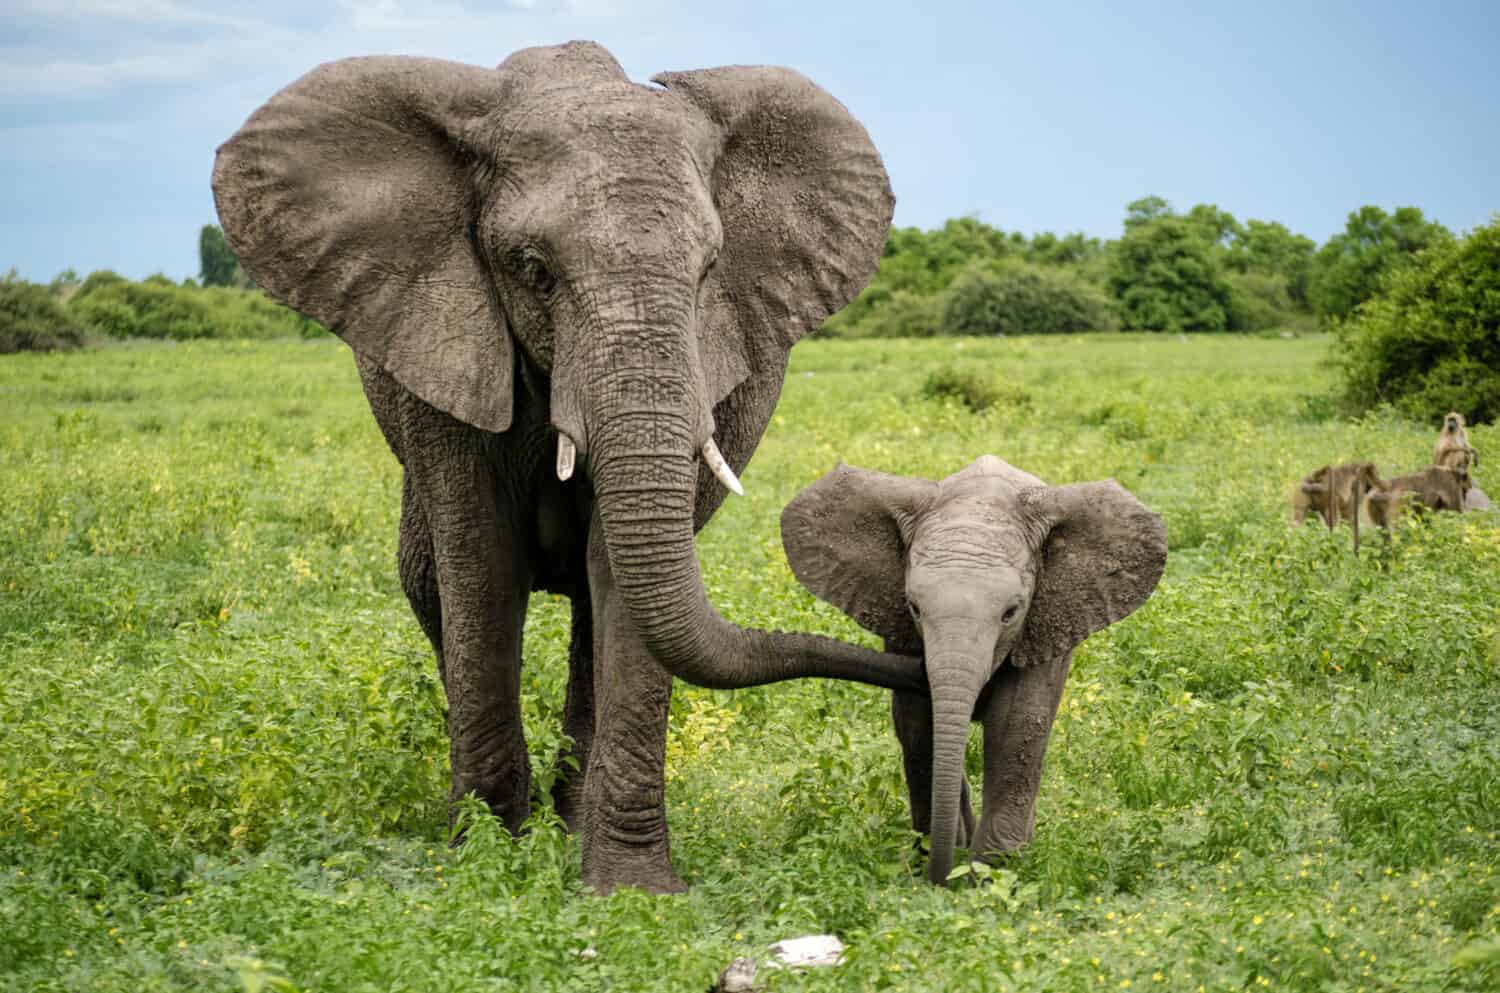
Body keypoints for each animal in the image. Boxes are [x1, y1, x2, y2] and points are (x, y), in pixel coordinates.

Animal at [205, 39, 918, 900]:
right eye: (533, 269)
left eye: (711, 268)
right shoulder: (446, 348)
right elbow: (481, 567)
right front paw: (485, 863)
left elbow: (620, 578)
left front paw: (631, 890)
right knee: (428, 582)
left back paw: (571, 820)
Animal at [786, 459, 1170, 888]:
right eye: (914, 607)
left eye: (1010, 613)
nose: (941, 880)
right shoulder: (900, 631)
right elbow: (918, 726)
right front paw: (944, 857)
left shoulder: (1046, 624)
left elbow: (1016, 725)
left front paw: (991, 872)